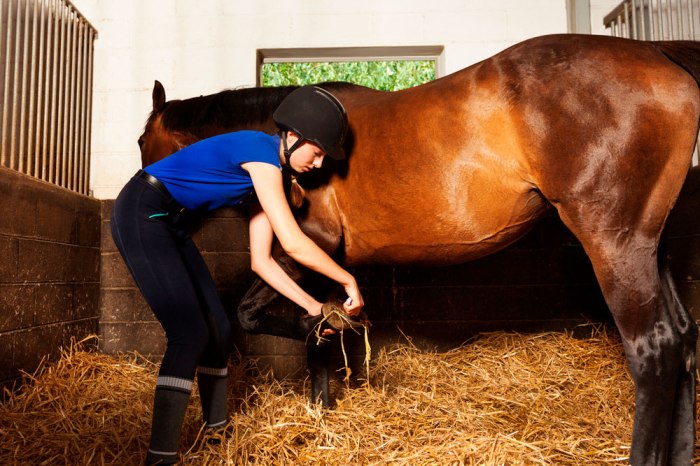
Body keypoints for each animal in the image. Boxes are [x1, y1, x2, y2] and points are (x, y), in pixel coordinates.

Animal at [138, 34, 700, 464]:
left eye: (143, 141)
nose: (160, 210)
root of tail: (659, 56)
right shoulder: (325, 258)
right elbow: (315, 322)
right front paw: (324, 398)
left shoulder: (310, 244)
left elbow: (256, 313)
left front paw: (327, 340)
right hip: (650, 247)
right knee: (683, 340)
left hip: (614, 242)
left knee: (653, 350)